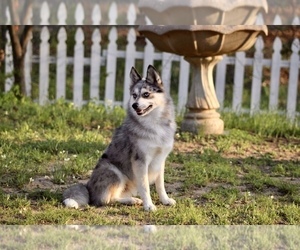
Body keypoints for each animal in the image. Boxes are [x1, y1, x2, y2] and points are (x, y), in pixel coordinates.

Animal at [62, 65, 176, 211]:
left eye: (146, 94)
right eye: (134, 95)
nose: (134, 105)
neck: (154, 124)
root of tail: (88, 187)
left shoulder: (160, 161)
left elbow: (160, 185)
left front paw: (165, 200)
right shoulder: (140, 162)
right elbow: (145, 187)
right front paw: (149, 206)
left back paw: (132, 200)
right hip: (115, 172)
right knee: (106, 200)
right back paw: (131, 200)